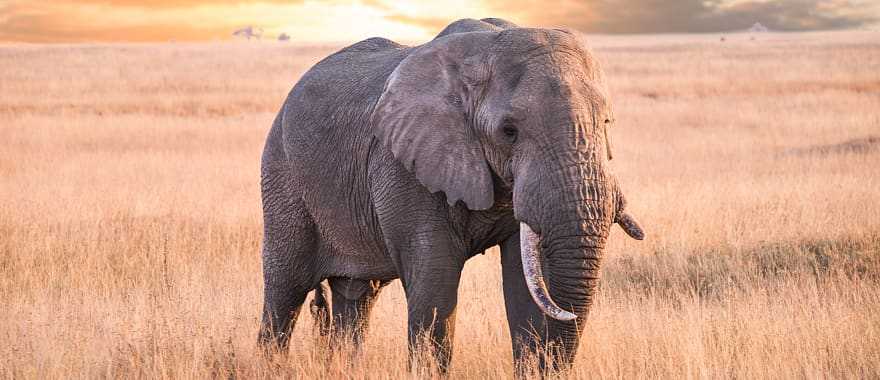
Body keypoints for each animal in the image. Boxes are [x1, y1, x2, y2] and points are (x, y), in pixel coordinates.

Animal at [258, 16, 644, 372]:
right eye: (509, 131)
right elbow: (434, 287)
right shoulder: (404, 163)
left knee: (356, 296)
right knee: (285, 290)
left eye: (606, 124)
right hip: (282, 174)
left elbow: (525, 287)